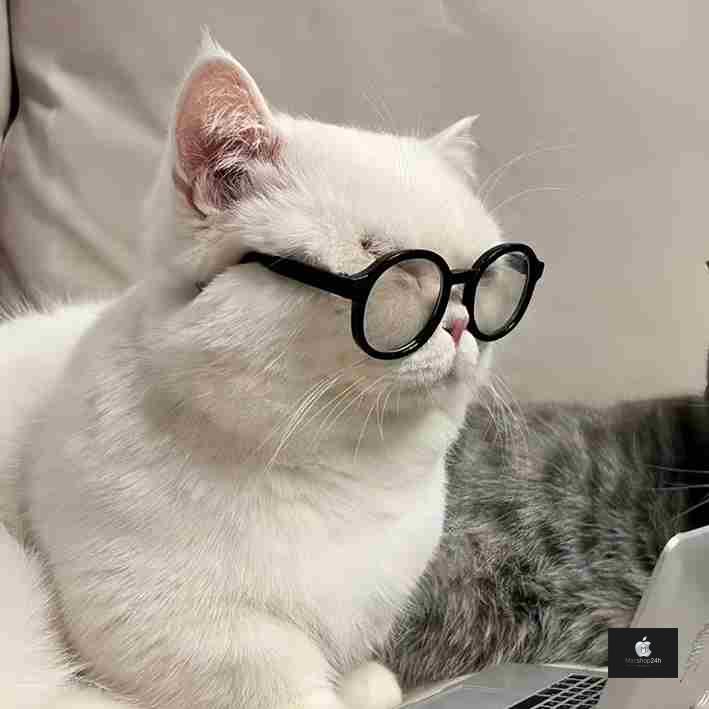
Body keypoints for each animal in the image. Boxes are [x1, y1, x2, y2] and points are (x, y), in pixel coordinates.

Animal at [0, 33, 503, 709]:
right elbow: (285, 680)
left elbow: (362, 677)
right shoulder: (171, 629)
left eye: (478, 273)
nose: (459, 321)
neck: (346, 481)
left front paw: (365, 681)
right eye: (384, 261)